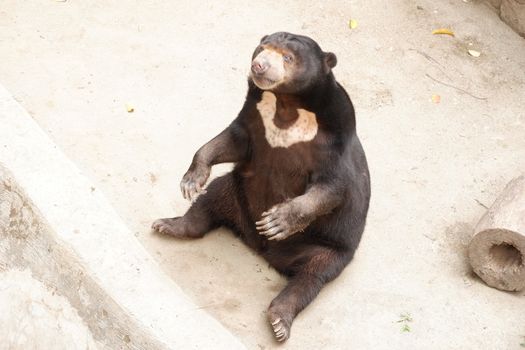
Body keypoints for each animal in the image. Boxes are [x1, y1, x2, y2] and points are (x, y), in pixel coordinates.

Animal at [151, 31, 370, 344]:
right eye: (262, 48)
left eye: (288, 57)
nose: (259, 66)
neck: (285, 103)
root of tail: (260, 248)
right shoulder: (253, 115)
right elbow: (231, 141)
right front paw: (191, 180)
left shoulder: (334, 139)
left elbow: (330, 188)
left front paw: (277, 221)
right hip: (235, 192)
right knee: (210, 199)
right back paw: (169, 225)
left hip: (329, 245)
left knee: (312, 275)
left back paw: (280, 321)